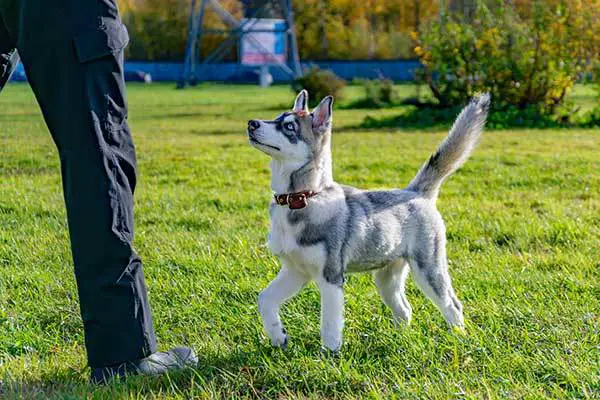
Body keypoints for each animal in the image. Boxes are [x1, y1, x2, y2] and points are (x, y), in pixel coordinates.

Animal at [246, 90, 490, 350]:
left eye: (289, 126)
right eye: (276, 118)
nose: (251, 123)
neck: (302, 198)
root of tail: (416, 192)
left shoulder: (331, 276)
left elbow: (330, 326)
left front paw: (329, 356)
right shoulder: (295, 270)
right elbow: (265, 299)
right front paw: (278, 336)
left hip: (429, 269)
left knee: (452, 304)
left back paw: (459, 338)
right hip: (386, 278)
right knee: (405, 309)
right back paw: (399, 341)